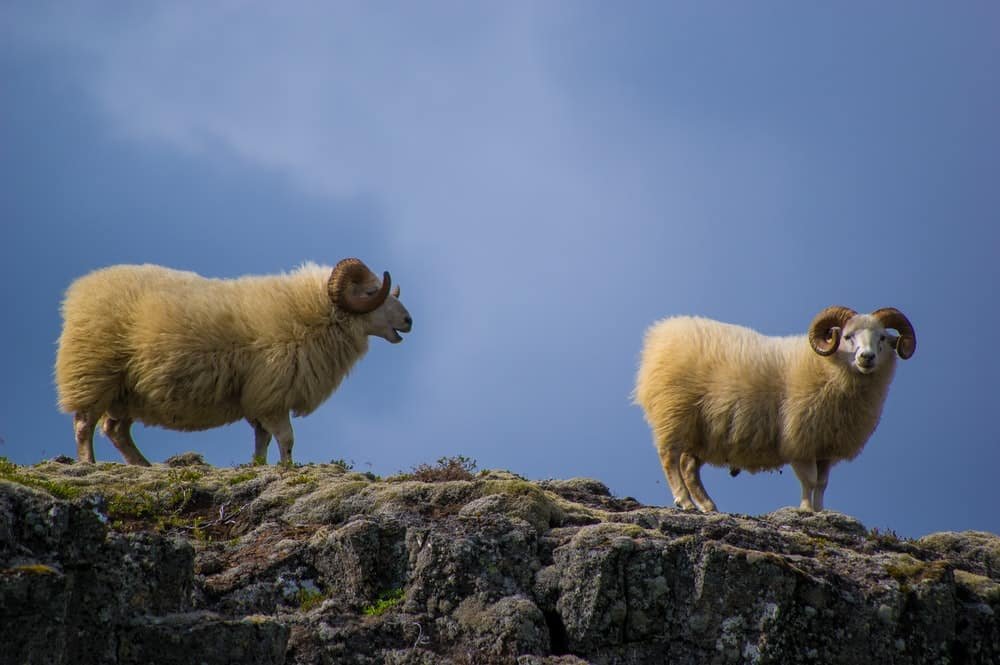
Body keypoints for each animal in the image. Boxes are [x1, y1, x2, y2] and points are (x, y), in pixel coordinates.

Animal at [55, 258, 412, 466]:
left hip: (126, 392)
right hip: (93, 373)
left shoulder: (257, 399)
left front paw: (259, 468)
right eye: (371, 292)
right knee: (84, 424)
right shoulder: (272, 396)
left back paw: (142, 466)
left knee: (115, 430)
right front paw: (287, 470)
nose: (409, 321)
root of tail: (81, 289)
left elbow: (262, 440)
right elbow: (287, 439)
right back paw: (87, 464)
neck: (315, 314)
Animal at [633, 306, 915, 513]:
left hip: (700, 432)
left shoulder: (825, 444)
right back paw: (685, 501)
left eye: (882, 338)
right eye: (847, 336)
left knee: (689, 468)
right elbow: (809, 480)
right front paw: (805, 510)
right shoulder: (800, 439)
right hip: (673, 413)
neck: (828, 366)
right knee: (669, 458)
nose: (866, 357)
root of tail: (661, 333)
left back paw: (707, 505)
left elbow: (822, 483)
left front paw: (821, 511)